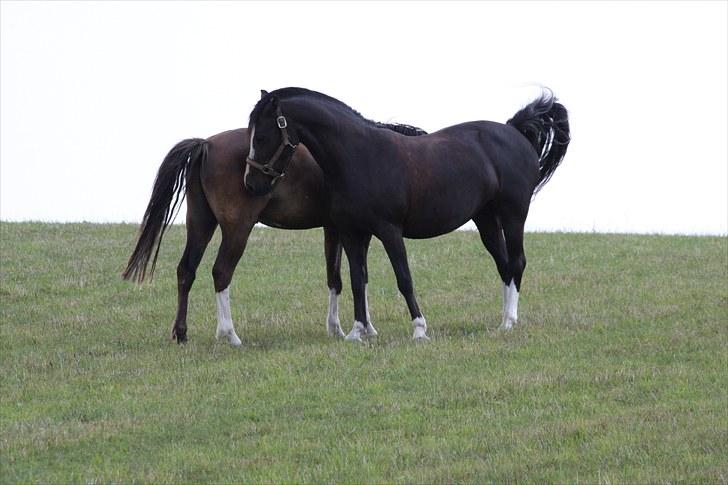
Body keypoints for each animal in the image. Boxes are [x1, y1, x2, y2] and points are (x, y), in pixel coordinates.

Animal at [245, 87, 568, 340]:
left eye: (261, 137)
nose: (251, 183)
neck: (359, 155)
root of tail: (513, 130)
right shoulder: (352, 233)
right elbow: (357, 279)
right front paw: (358, 332)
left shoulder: (389, 230)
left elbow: (404, 278)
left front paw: (419, 329)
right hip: (486, 219)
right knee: (503, 265)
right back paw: (502, 322)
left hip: (513, 214)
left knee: (516, 262)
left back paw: (510, 321)